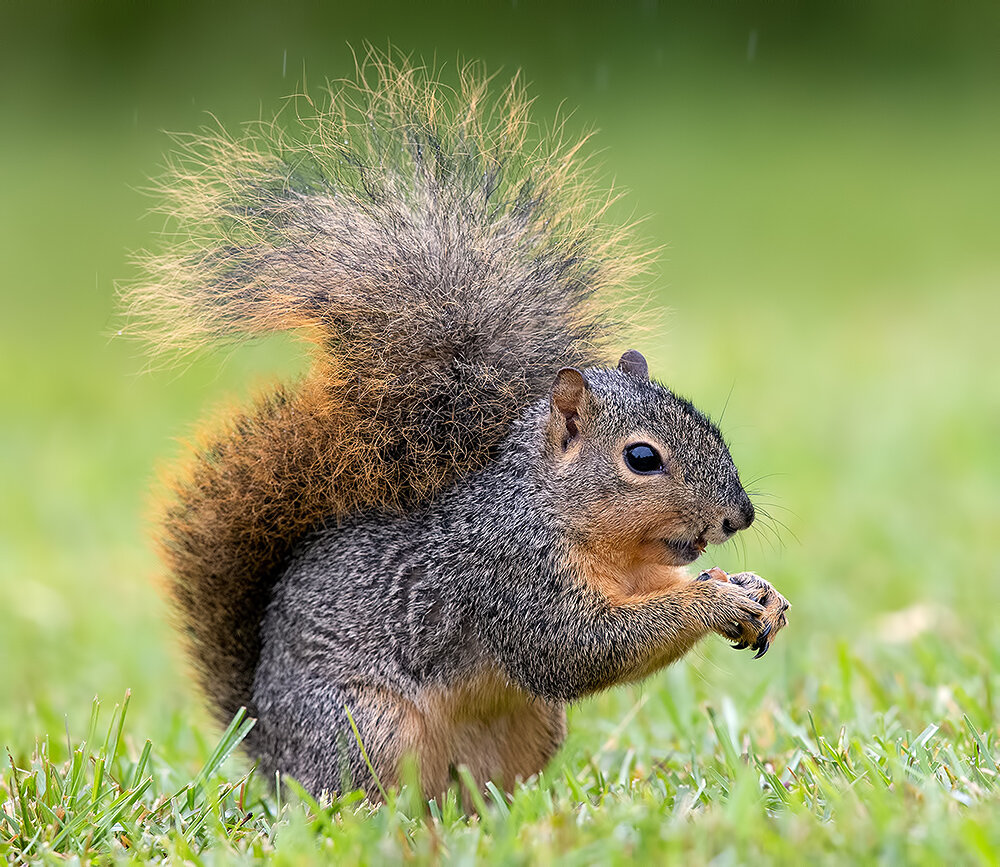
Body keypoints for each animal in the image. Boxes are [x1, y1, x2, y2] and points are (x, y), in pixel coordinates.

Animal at [125, 55, 790, 802]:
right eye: (643, 458)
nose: (739, 517)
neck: (558, 514)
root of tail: (266, 745)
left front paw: (755, 589)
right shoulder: (510, 577)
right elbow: (576, 649)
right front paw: (711, 601)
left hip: (527, 730)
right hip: (362, 730)